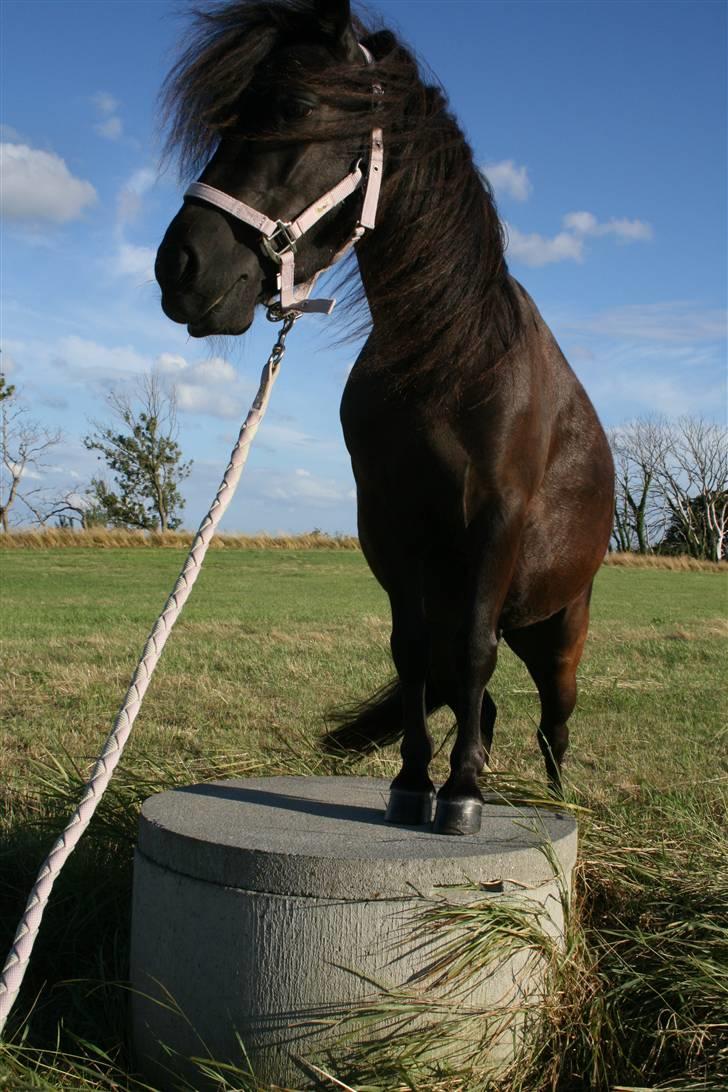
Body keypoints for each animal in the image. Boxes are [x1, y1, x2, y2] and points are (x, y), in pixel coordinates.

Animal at [155, 0, 615, 835]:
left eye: (296, 108)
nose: (180, 267)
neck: (449, 355)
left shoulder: (496, 521)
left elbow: (473, 656)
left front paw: (461, 796)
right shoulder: (389, 526)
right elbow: (412, 656)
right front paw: (412, 783)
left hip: (559, 631)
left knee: (553, 721)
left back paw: (548, 798)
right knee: (481, 701)